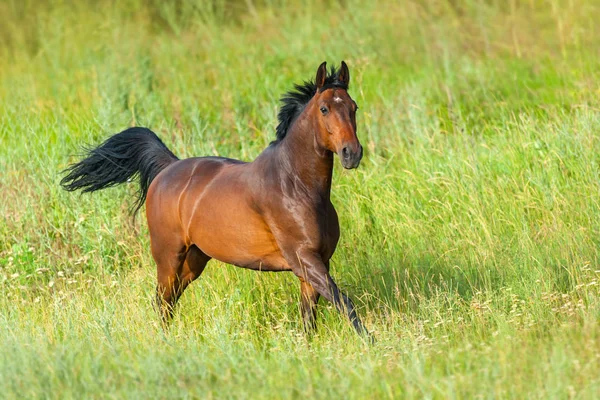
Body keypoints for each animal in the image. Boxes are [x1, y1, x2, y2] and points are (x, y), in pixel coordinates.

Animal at [61, 61, 370, 338]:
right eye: (324, 108)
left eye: (353, 107)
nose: (352, 153)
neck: (297, 187)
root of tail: (168, 167)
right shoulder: (304, 259)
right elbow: (344, 303)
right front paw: (370, 343)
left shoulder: (317, 262)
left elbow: (309, 319)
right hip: (168, 257)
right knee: (162, 302)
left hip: (194, 260)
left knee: (170, 301)